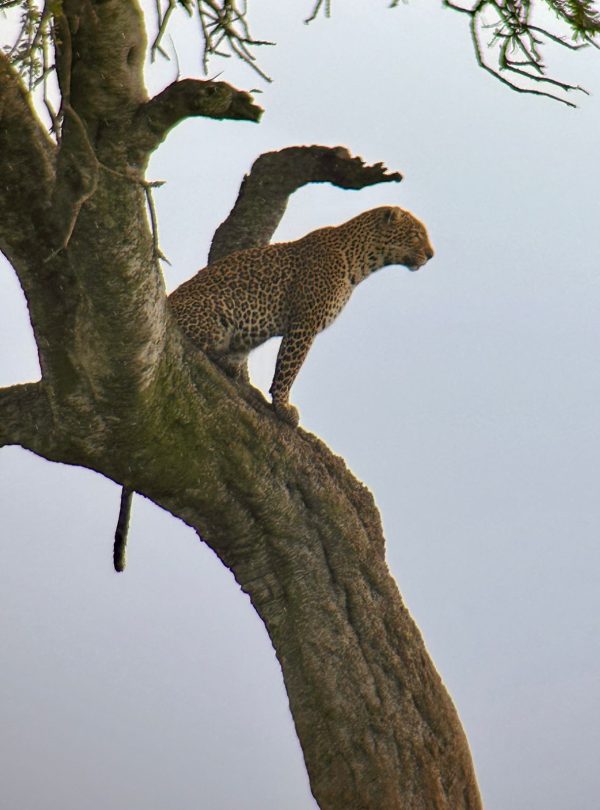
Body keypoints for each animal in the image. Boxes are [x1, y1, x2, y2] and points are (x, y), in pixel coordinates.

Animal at [170, 205, 434, 426]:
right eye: (416, 235)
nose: (432, 254)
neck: (359, 263)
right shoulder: (305, 323)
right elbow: (289, 368)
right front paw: (283, 407)